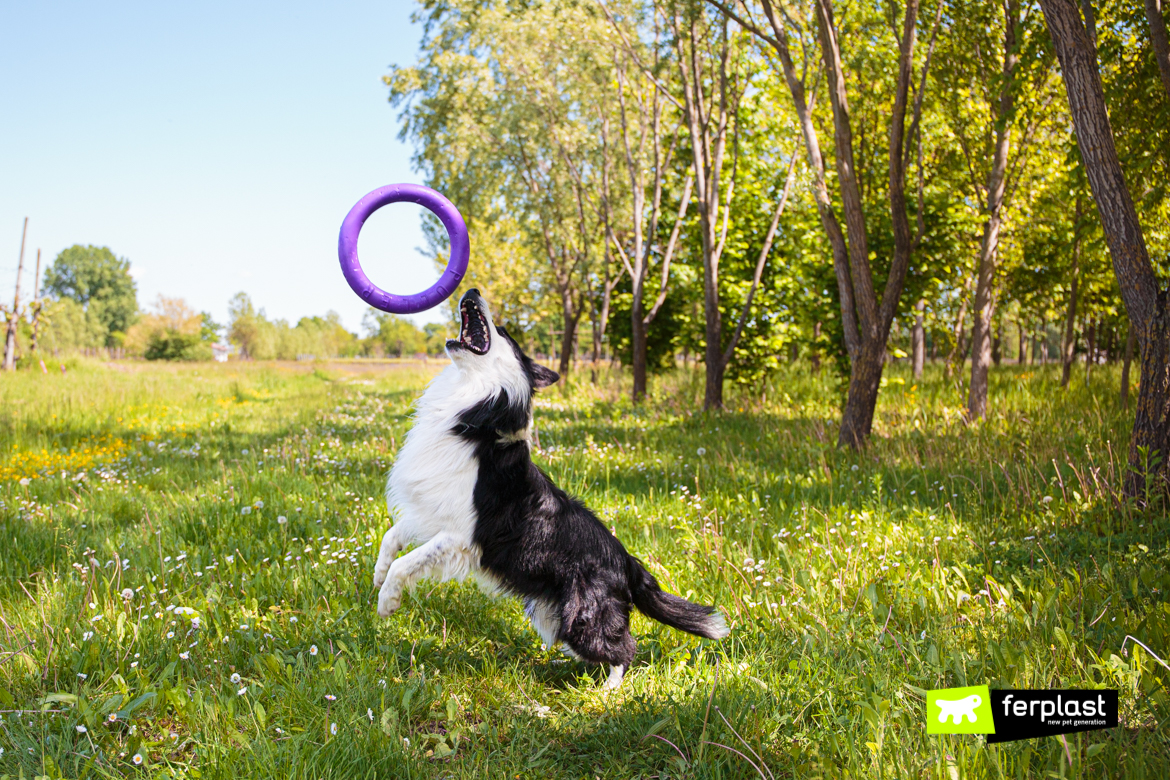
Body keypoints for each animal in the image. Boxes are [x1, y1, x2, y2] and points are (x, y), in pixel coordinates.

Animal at [369, 290, 725, 687]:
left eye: (504, 332)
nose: (473, 291)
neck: (476, 417)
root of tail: (628, 563)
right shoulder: (429, 511)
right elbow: (391, 537)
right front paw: (377, 575)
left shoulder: (461, 535)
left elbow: (407, 562)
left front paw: (387, 602)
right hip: (552, 612)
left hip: (583, 616)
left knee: (623, 648)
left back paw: (607, 692)